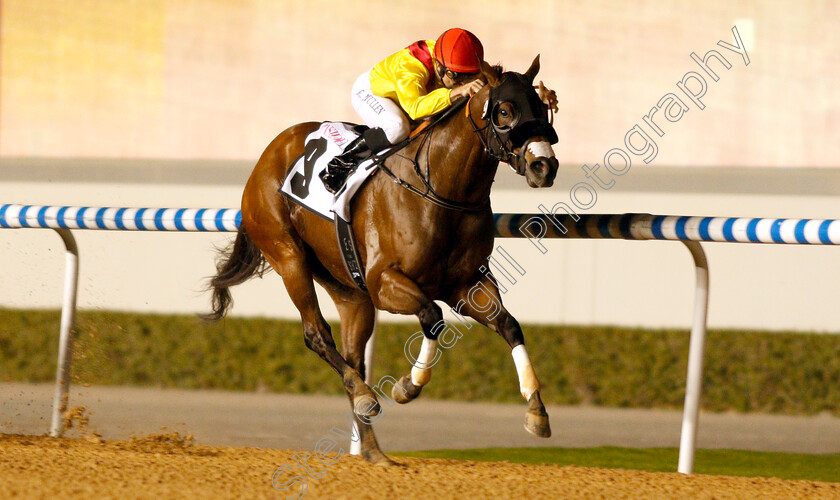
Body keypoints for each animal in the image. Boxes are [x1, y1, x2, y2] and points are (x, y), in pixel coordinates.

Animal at [203, 56, 556, 466]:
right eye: (504, 111)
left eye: (542, 107)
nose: (545, 167)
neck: (442, 189)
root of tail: (267, 154)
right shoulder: (385, 282)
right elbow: (432, 317)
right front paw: (407, 386)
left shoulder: (467, 284)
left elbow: (509, 325)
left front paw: (537, 411)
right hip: (287, 254)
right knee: (316, 334)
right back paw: (365, 397)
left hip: (349, 290)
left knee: (353, 357)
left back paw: (373, 448)